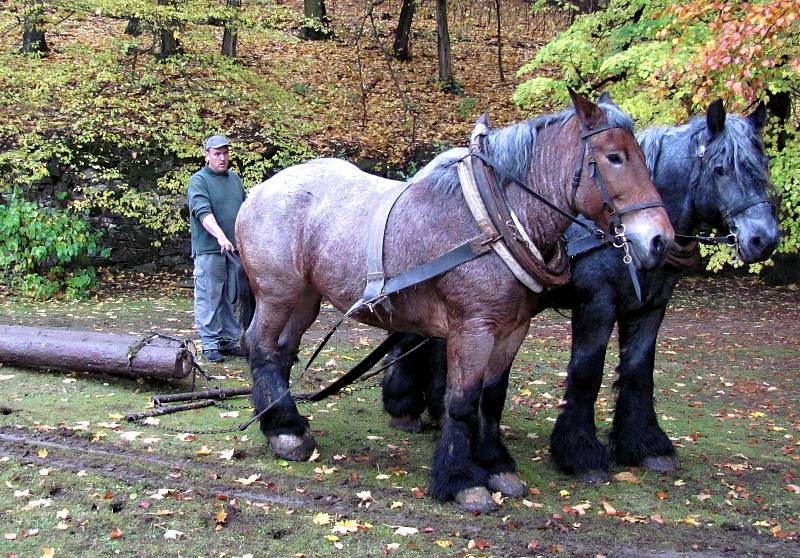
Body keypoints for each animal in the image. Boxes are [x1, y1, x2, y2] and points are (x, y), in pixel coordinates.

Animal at [236, 93, 676, 516]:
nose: (659, 239)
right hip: (278, 293)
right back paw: (285, 432)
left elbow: (491, 399)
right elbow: (462, 402)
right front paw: (463, 480)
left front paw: (497, 466)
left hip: (305, 298)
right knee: (260, 346)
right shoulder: (473, 328)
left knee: (282, 352)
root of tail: (259, 191)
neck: (493, 221)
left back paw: (285, 423)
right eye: (614, 156)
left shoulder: (512, 329)